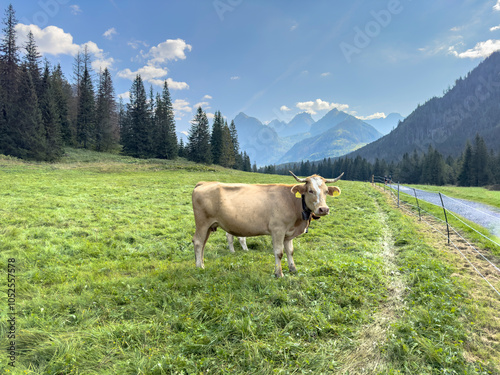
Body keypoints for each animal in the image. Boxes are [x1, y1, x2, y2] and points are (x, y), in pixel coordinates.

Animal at [192, 172, 344, 278]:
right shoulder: (278, 230)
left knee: (203, 243)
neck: (292, 202)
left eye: (326, 191)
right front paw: (279, 274)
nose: (323, 209)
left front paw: (293, 269)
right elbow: (279, 252)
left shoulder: (289, 233)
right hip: (202, 223)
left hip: (209, 225)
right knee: (198, 242)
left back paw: (202, 263)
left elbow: (290, 251)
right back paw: (199, 266)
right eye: (310, 190)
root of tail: (204, 183)